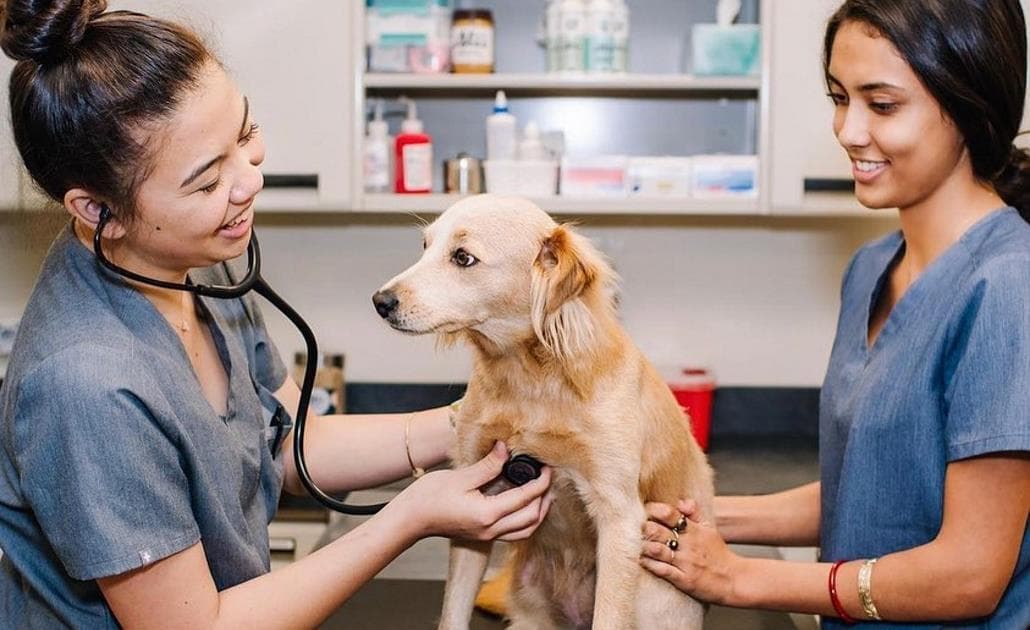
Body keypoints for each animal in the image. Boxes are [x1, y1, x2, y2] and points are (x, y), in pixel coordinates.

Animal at [372, 194, 716, 625]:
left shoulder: (619, 516)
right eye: (424, 246)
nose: (380, 301)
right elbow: (453, 612)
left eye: (463, 257)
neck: (529, 382)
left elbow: (609, 615)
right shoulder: (473, 500)